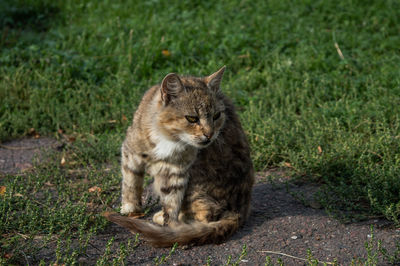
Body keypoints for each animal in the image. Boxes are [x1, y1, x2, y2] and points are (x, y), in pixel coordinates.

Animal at [103, 66, 253, 247]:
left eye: (216, 116)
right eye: (192, 118)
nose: (210, 134)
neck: (170, 139)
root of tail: (239, 211)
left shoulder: (176, 171)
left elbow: (171, 203)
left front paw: (171, 228)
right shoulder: (132, 153)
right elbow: (131, 183)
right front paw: (130, 208)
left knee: (207, 214)